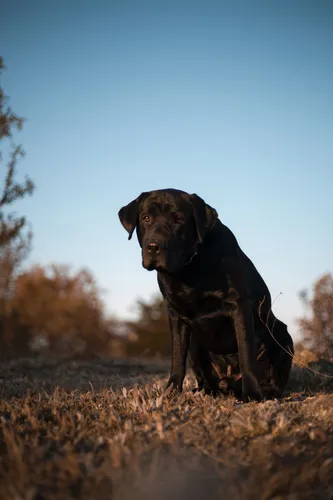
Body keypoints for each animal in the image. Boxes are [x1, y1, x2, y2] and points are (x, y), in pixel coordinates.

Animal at [117, 188, 294, 402]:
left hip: (282, 334)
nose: (154, 246)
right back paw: (205, 390)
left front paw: (251, 393)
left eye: (178, 220)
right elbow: (177, 358)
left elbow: (246, 353)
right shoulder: (175, 314)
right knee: (206, 377)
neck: (190, 267)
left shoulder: (238, 306)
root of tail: (229, 380)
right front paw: (171, 392)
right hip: (196, 344)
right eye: (146, 218)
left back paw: (268, 391)